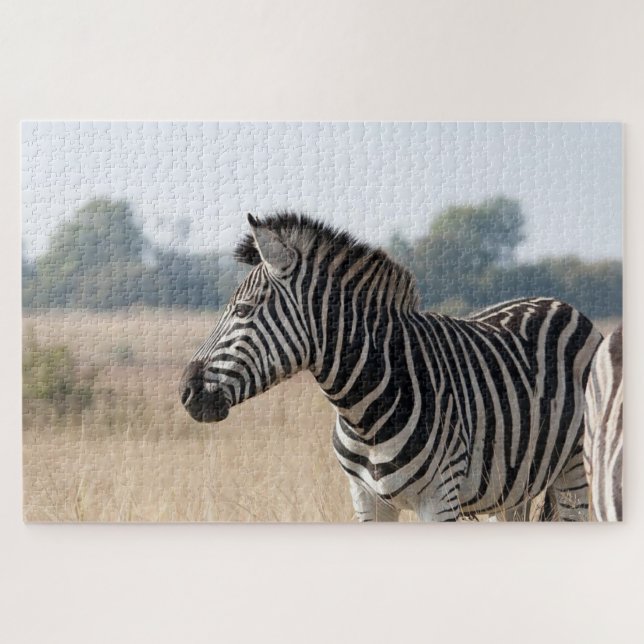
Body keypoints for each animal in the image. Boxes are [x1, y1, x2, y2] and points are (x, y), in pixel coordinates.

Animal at [179, 213, 602, 522]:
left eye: (242, 311)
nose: (185, 391)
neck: (364, 412)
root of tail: (561, 304)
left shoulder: (440, 500)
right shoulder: (366, 499)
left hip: (574, 474)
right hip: (513, 485)